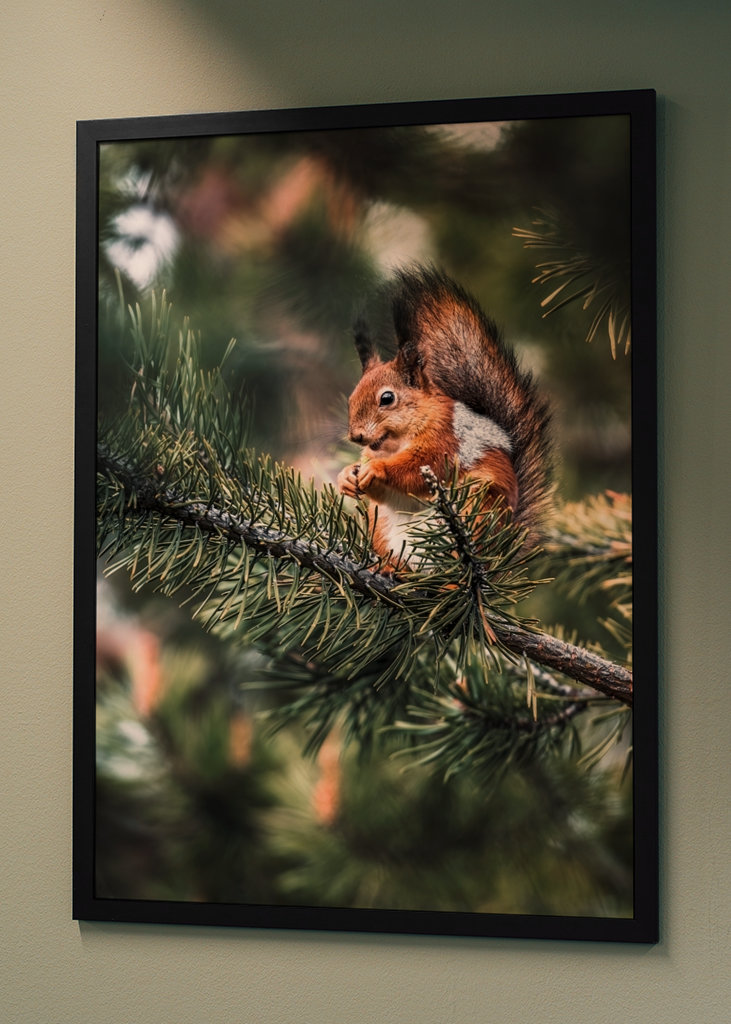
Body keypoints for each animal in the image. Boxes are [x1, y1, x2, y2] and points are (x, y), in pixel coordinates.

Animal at [337, 266, 552, 569]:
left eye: (387, 398)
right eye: (352, 397)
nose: (356, 436)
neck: (396, 443)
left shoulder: (443, 441)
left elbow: (417, 468)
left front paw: (378, 469)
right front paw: (345, 476)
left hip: (476, 510)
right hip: (382, 528)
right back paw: (392, 570)